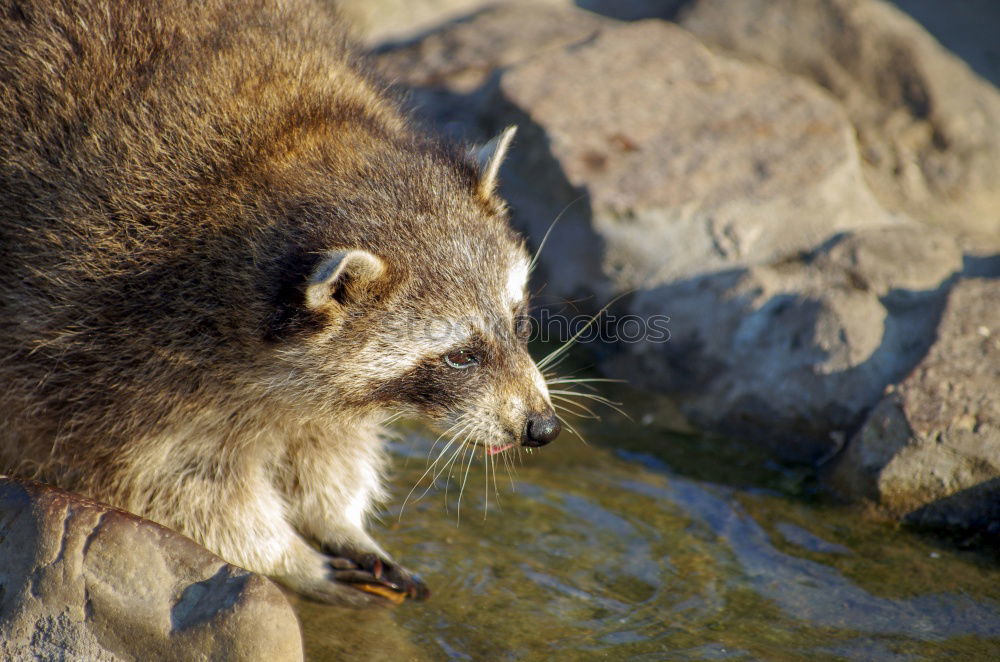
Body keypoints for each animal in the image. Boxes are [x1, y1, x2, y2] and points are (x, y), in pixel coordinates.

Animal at [0, 0, 560, 608]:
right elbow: (166, 486)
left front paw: (338, 519)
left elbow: (329, 443)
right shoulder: (100, 353)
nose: (541, 428)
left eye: (519, 320)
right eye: (461, 356)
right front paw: (285, 554)